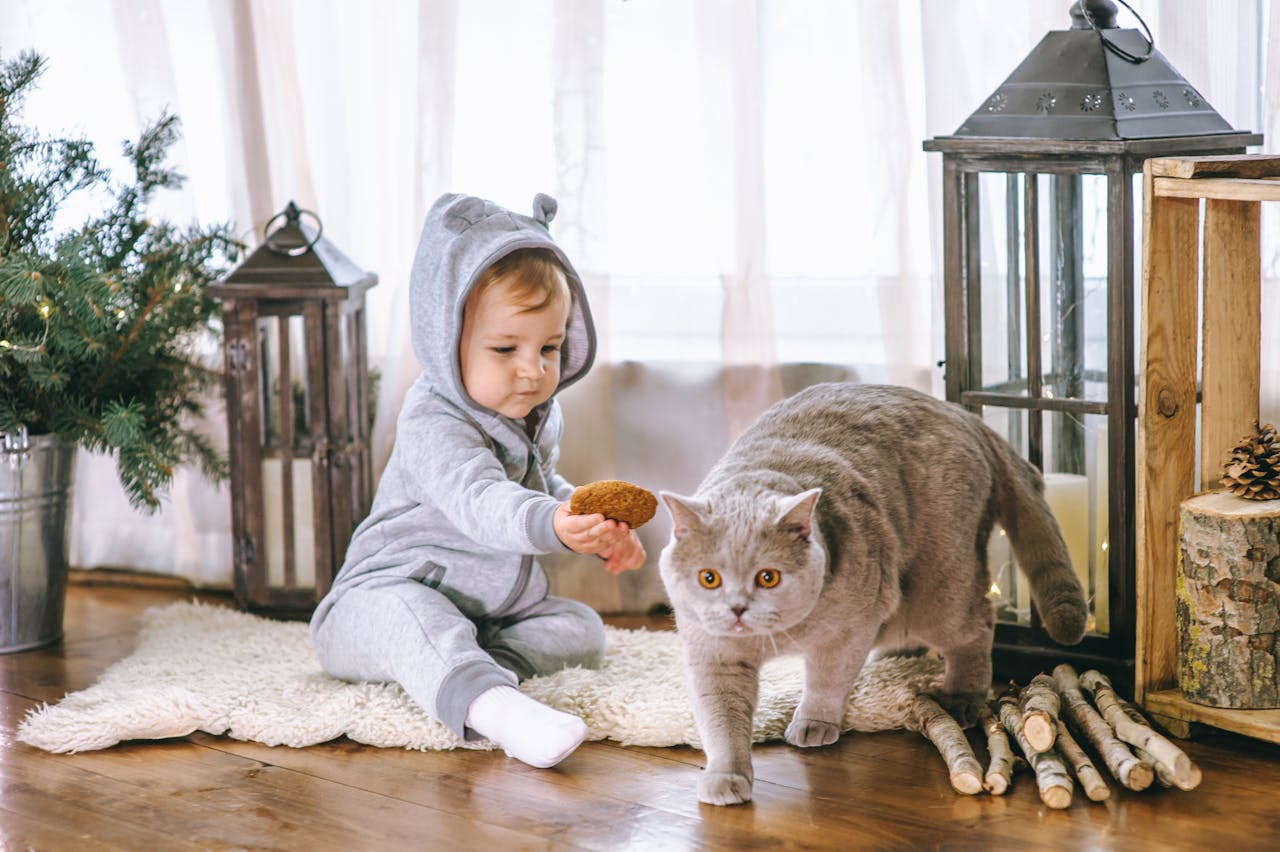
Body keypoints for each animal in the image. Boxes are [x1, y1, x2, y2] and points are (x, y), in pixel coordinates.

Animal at [660, 383, 1090, 803]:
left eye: (768, 577)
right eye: (709, 578)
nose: (736, 608)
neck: (778, 637)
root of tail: (965, 417)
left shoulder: (848, 629)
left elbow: (827, 682)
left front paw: (813, 724)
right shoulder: (713, 655)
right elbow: (720, 720)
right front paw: (725, 778)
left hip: (941, 582)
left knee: (977, 628)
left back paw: (961, 697)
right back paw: (891, 658)